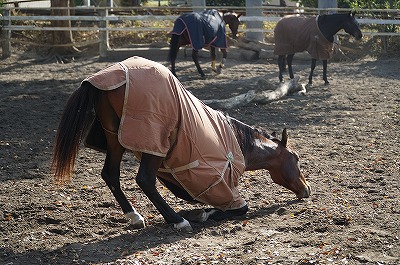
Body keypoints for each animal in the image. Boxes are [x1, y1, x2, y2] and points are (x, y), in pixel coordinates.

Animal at [51, 56, 310, 231]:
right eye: (296, 158)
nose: (306, 188)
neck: (236, 142)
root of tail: (102, 78)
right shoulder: (218, 184)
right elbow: (239, 207)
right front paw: (201, 214)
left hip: (116, 137)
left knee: (111, 174)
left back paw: (135, 216)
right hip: (155, 143)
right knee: (145, 180)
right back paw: (177, 220)